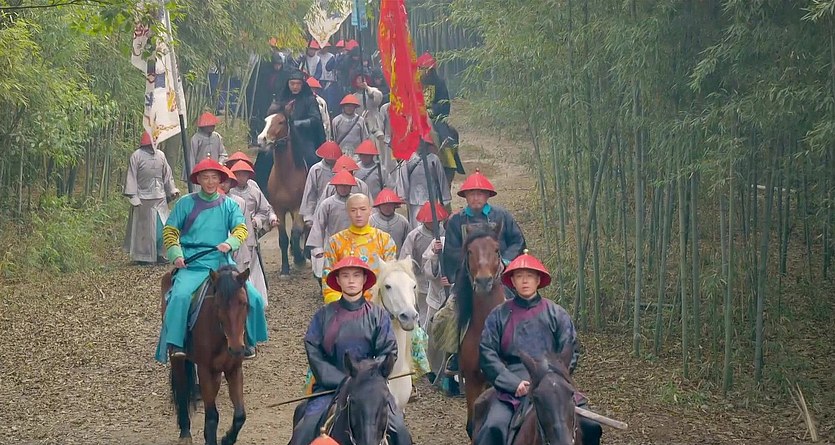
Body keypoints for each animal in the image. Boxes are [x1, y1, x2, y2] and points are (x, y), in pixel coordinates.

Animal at [163, 265, 252, 445]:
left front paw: (226, 439)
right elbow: (212, 416)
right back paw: (185, 433)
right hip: (177, 359)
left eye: (243, 303)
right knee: (182, 390)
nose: (236, 349)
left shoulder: (234, 369)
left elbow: (240, 415)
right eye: (218, 305)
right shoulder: (205, 370)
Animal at [258, 109, 307, 277]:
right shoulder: (279, 209)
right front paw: (285, 269)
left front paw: (300, 259)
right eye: (265, 121)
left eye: (281, 122)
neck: (286, 175)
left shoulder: (298, 207)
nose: (261, 139)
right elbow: (283, 239)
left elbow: (297, 232)